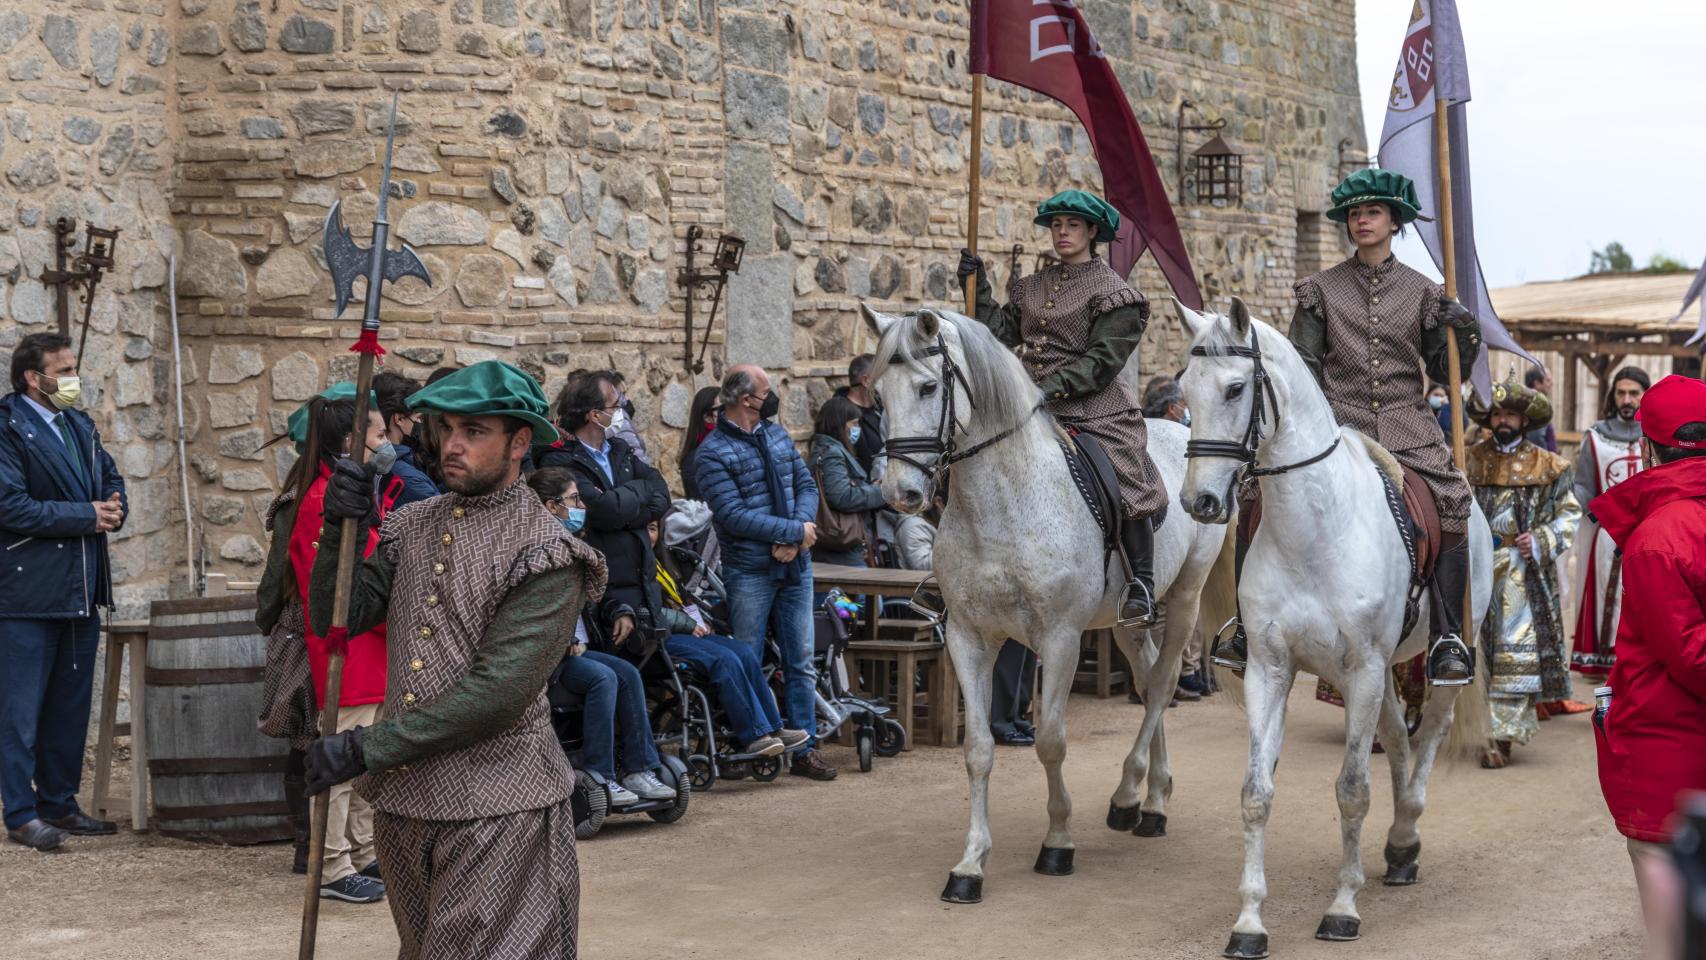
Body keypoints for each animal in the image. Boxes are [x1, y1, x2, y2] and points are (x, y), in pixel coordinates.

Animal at [866, 303, 1228, 907]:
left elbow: (1052, 741)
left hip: (1184, 596)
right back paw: (1151, 793)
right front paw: (970, 865)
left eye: (926, 386)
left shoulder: (1059, 638)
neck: (1000, 504)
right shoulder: (967, 637)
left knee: (1162, 684)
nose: (902, 494)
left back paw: (1136, 801)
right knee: (1149, 675)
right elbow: (979, 748)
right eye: (877, 394)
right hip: (1126, 620)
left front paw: (1058, 842)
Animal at [1173, 300, 1494, 960]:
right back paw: (1398, 847)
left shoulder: (1364, 669)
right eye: (1185, 389)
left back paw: (1407, 828)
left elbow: (1351, 790)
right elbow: (1255, 793)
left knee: (1427, 734)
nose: (1201, 503)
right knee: (1396, 737)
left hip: (1436, 656)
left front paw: (1343, 909)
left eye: (1236, 388)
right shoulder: (1270, 670)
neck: (1314, 527)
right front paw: (1249, 922)